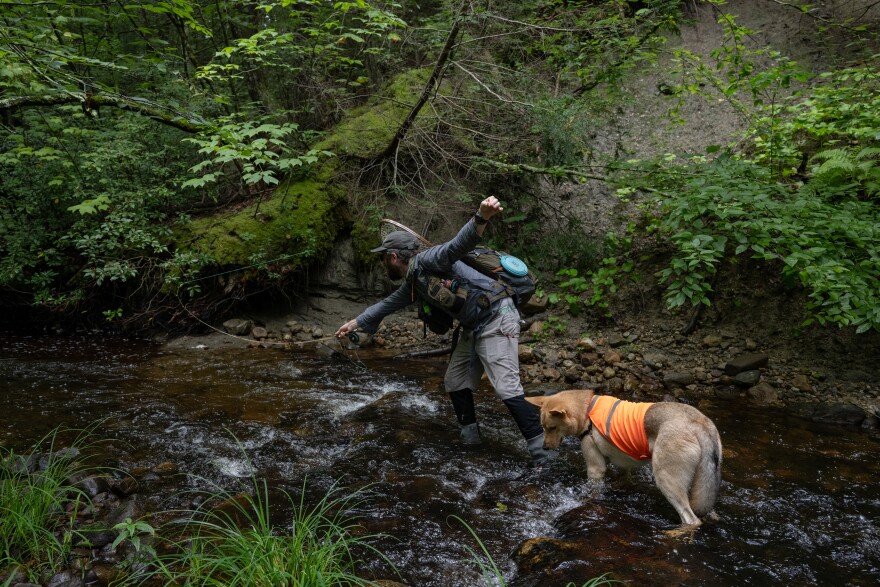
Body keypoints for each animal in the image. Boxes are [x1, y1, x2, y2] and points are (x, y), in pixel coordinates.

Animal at [524, 390, 720, 536]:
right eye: (542, 427)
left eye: (552, 428)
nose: (545, 447)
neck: (586, 411)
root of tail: (700, 423)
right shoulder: (624, 462)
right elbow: (626, 477)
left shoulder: (595, 468)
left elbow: (592, 492)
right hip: (704, 481)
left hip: (666, 479)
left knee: (691, 519)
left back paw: (672, 533)